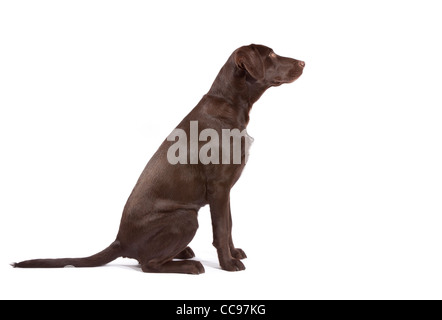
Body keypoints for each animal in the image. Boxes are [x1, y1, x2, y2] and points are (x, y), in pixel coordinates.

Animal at [12, 43, 304, 274]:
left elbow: (229, 225)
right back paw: (189, 265)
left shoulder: (226, 191)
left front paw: (233, 253)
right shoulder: (219, 187)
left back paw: (185, 253)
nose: (303, 62)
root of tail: (120, 241)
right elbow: (221, 229)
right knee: (147, 264)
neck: (230, 104)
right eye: (271, 55)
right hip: (186, 218)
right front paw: (228, 264)